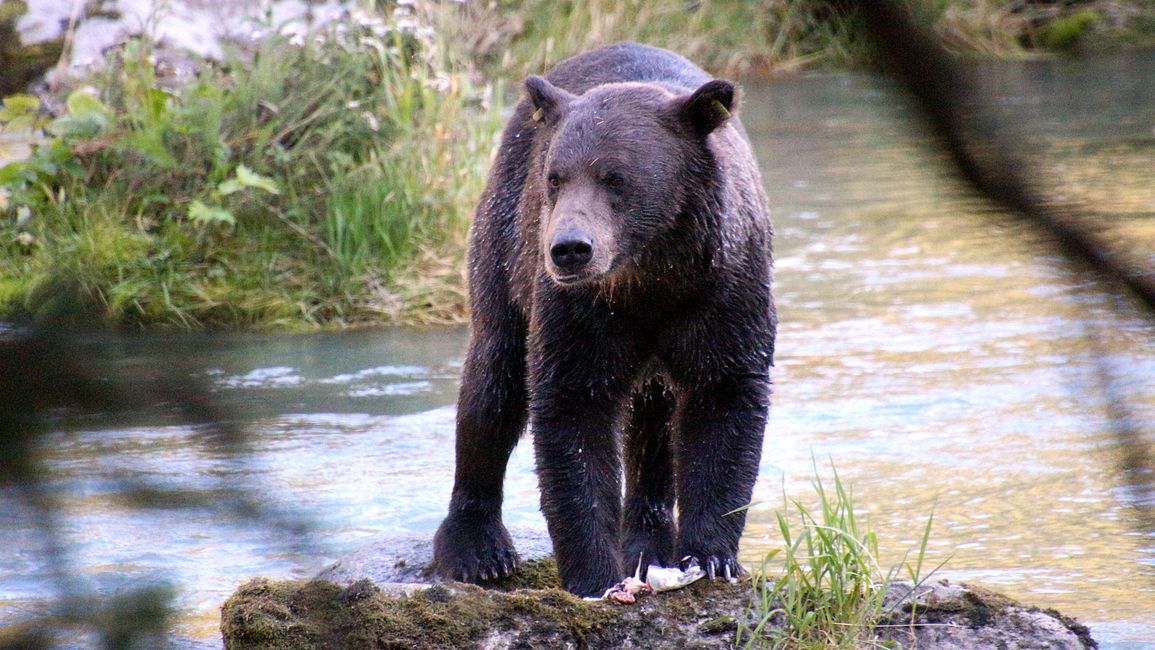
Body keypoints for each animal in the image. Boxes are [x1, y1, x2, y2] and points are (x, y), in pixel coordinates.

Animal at [434, 43, 776, 595]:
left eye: (615, 177)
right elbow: (572, 409)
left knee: (652, 420)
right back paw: (476, 547)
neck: (650, 274)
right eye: (555, 177)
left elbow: (723, 397)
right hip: (504, 244)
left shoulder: (723, 291)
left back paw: (647, 542)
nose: (570, 248)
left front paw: (711, 556)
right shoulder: (582, 311)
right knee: (493, 381)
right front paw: (594, 575)